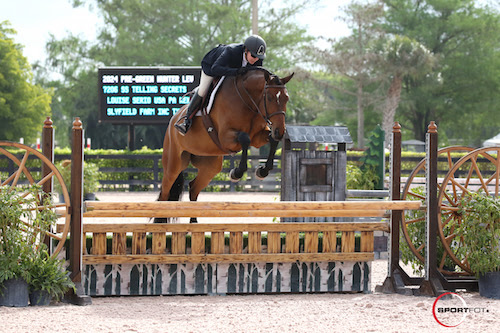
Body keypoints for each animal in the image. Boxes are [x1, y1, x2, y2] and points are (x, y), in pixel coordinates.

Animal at [155, 68, 292, 222]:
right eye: (269, 97)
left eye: (286, 98)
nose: (279, 132)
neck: (248, 100)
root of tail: (173, 119)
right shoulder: (225, 137)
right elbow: (245, 139)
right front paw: (236, 173)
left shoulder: (258, 138)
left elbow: (271, 141)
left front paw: (263, 170)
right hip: (173, 164)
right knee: (165, 192)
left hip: (210, 167)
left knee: (193, 188)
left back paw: (193, 223)